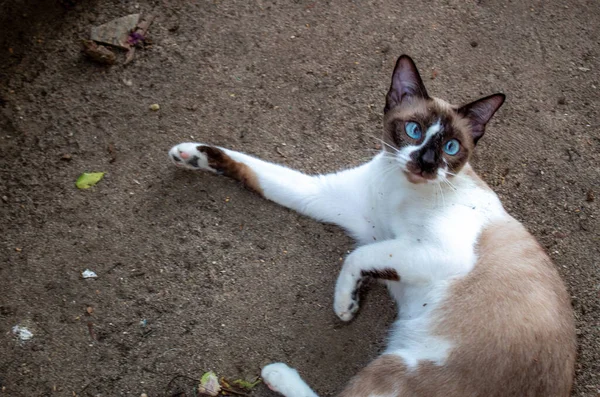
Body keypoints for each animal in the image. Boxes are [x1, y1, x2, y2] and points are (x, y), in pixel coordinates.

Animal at [168, 54, 576, 394]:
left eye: (451, 148)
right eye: (413, 130)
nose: (426, 162)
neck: (398, 189)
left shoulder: (439, 252)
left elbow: (358, 256)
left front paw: (345, 304)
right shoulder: (327, 197)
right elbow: (251, 168)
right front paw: (189, 154)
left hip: (396, 368)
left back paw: (277, 373)